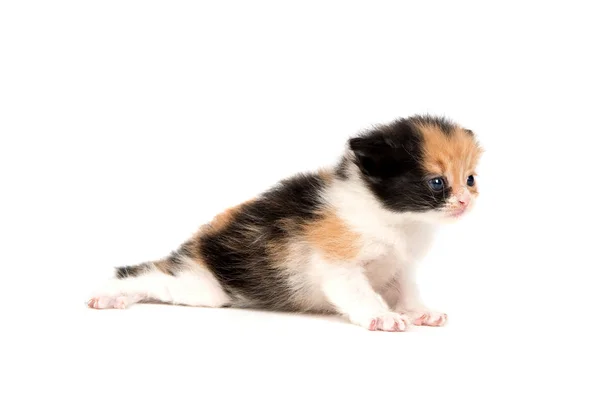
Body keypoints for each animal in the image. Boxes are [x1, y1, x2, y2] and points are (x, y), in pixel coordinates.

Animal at [88, 115, 482, 332]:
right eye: (436, 183)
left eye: (471, 180)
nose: (464, 201)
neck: (394, 218)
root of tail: (194, 245)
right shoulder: (336, 264)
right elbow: (357, 292)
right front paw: (381, 317)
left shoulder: (401, 265)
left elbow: (408, 291)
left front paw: (421, 313)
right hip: (202, 286)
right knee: (143, 274)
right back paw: (107, 296)